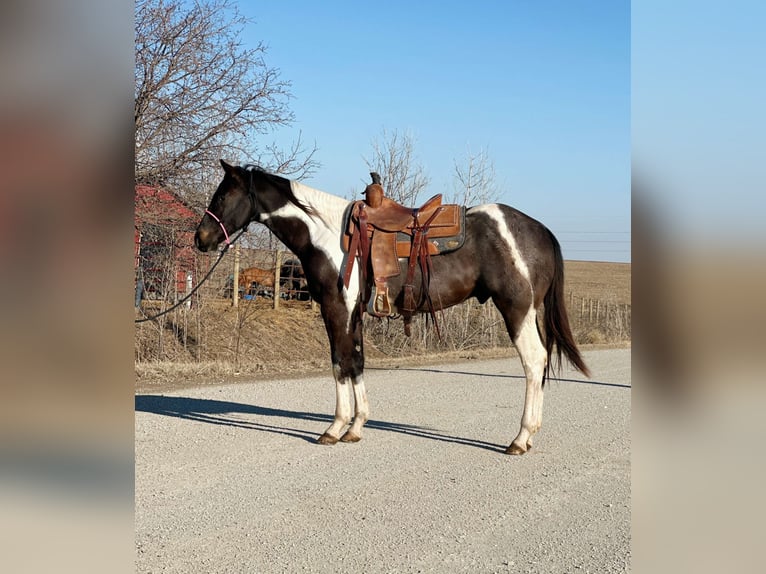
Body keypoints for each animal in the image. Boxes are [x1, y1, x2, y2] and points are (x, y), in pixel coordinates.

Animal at [195, 161, 592, 454]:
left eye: (223, 194)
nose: (201, 238)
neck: (325, 235)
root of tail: (539, 230)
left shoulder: (336, 309)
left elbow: (339, 362)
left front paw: (334, 428)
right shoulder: (353, 313)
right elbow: (356, 362)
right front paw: (356, 426)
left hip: (517, 309)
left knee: (534, 362)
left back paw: (521, 438)